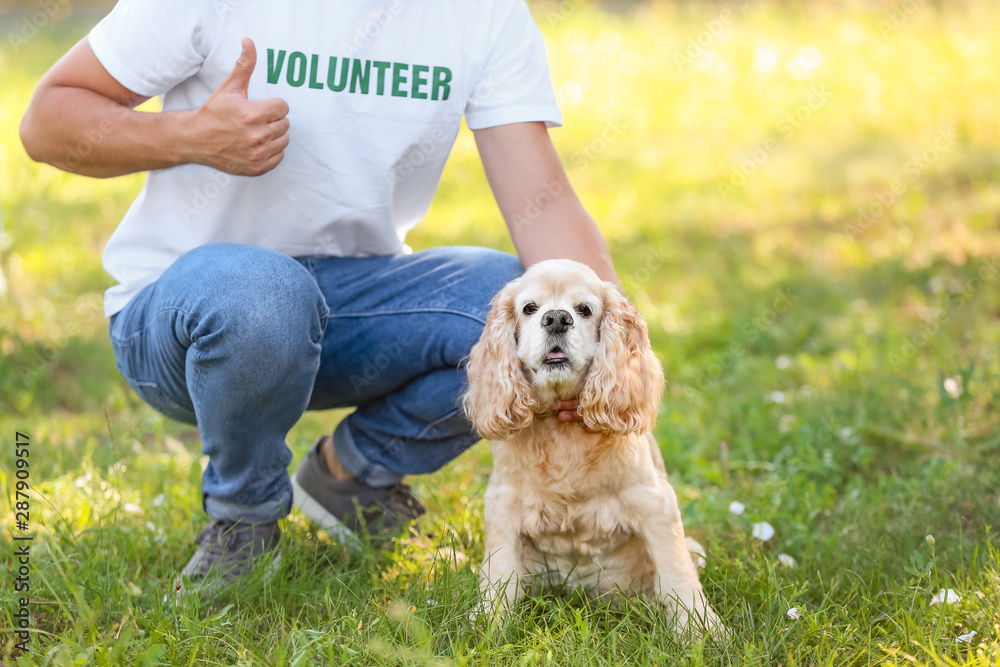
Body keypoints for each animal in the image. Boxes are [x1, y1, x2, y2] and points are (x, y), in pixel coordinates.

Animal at [464, 258, 724, 640]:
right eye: (530, 308)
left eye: (584, 310)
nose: (557, 318)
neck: (563, 433)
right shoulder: (503, 505)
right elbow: (499, 573)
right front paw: (488, 625)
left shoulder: (654, 503)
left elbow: (676, 572)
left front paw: (700, 629)